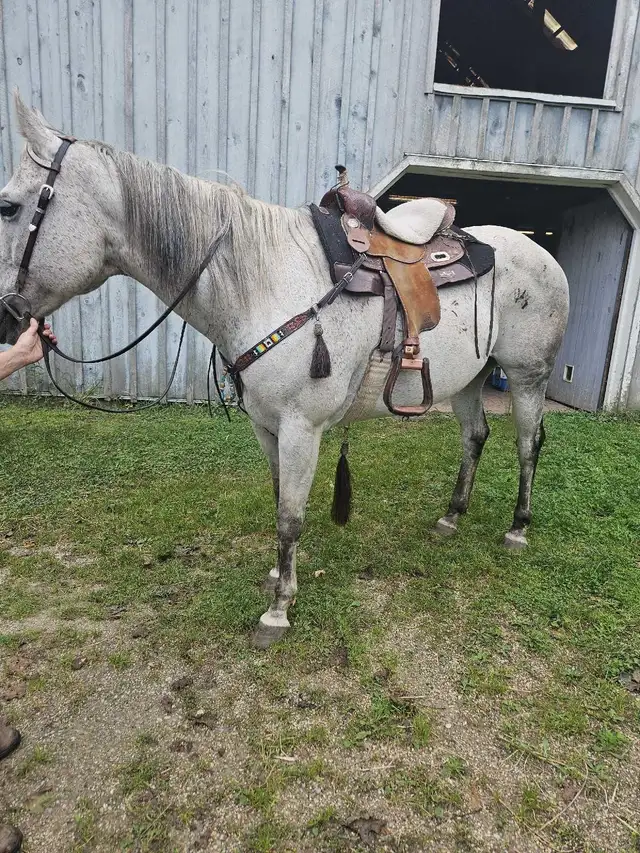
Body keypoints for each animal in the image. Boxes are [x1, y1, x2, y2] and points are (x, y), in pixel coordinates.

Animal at [0, 94, 569, 647]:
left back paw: (518, 527)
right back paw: (451, 517)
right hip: (471, 377)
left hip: (526, 376)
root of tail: (537, 250)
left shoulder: (301, 427)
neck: (264, 283)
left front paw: (278, 612)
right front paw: (278, 578)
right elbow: (278, 501)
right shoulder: (265, 425)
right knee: (475, 436)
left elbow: (290, 517)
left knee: (528, 443)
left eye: (7, 206)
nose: (7, 320)